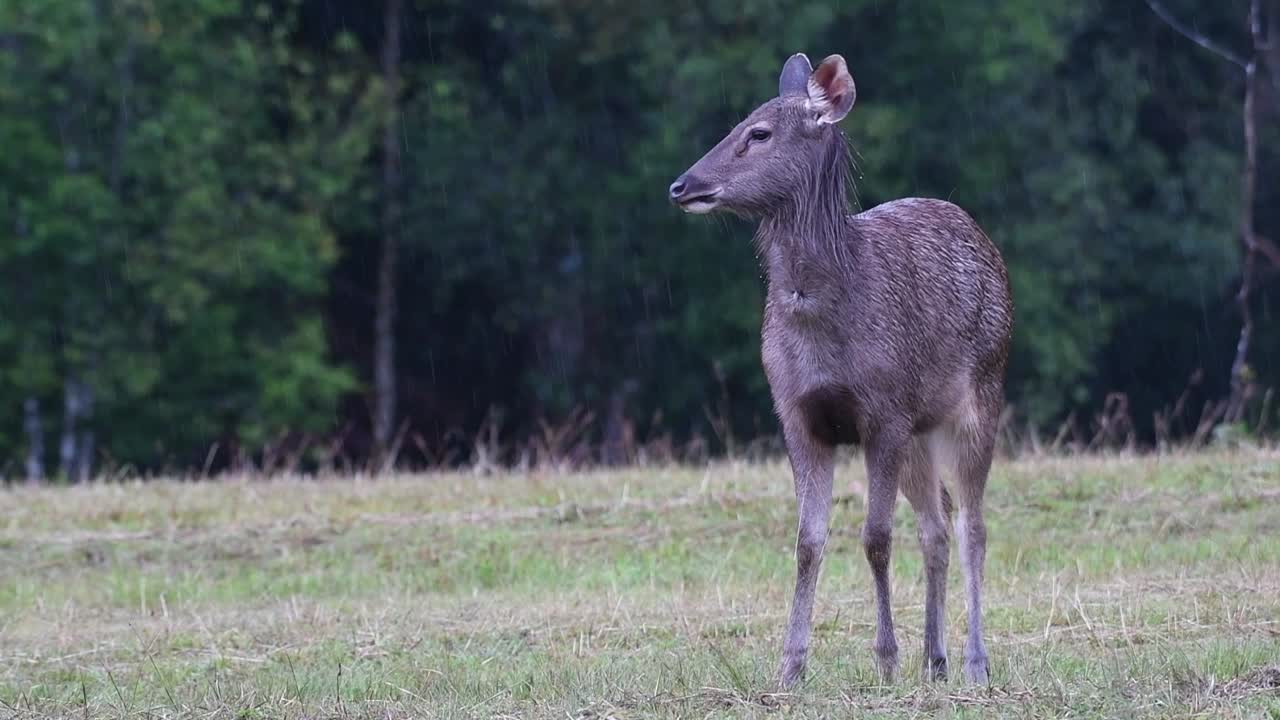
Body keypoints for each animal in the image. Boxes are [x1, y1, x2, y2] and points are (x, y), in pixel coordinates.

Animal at [669, 53, 1013, 688]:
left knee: (972, 526)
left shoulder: (883, 413)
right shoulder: (798, 415)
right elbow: (808, 540)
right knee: (937, 525)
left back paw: (974, 662)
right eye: (739, 123)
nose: (682, 185)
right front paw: (790, 666)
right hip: (920, 427)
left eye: (758, 133)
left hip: (981, 390)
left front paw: (886, 658)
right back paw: (936, 659)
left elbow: (875, 537)